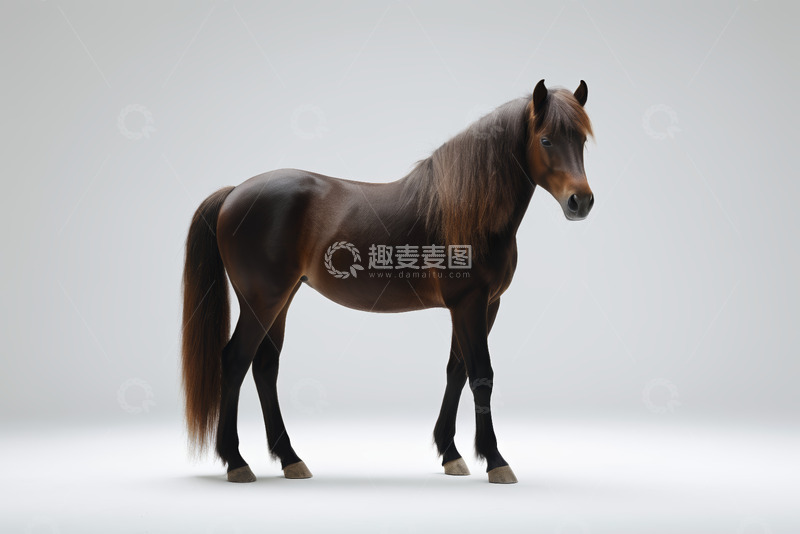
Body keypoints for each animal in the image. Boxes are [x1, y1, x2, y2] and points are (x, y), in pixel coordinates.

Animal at [181, 79, 595, 484]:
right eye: (546, 140)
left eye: (582, 140)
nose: (581, 202)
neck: (466, 209)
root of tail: (234, 193)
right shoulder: (470, 302)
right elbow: (481, 375)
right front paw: (495, 460)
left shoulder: (485, 305)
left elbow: (457, 371)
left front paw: (451, 454)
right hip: (262, 300)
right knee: (235, 360)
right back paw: (236, 462)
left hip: (282, 298)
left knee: (265, 366)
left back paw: (290, 459)